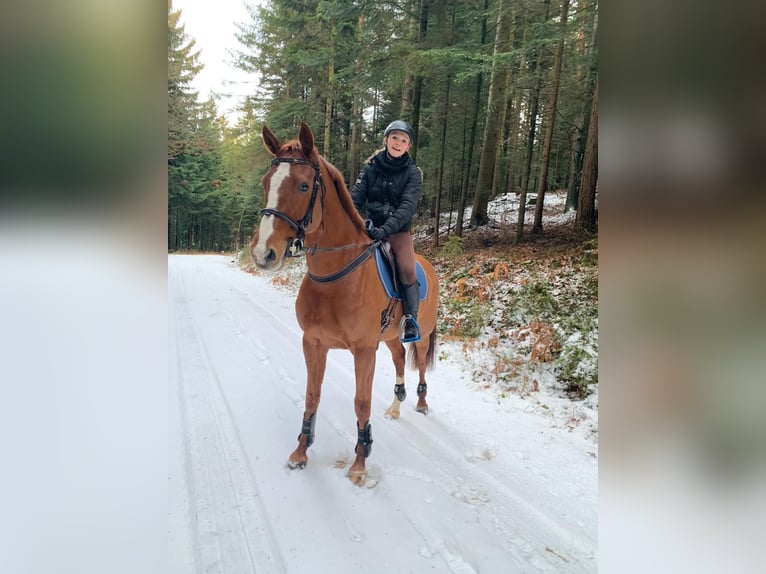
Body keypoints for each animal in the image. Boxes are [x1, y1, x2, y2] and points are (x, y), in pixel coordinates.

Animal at [249, 122, 439, 485]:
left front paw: (360, 463)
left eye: (303, 185)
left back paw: (421, 402)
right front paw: (301, 451)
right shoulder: (313, 343)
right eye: (266, 183)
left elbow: (361, 402)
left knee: (420, 361)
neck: (336, 276)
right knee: (399, 359)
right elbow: (312, 395)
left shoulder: (364, 350)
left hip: (420, 332)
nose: (263, 253)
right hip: (389, 336)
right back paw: (396, 404)